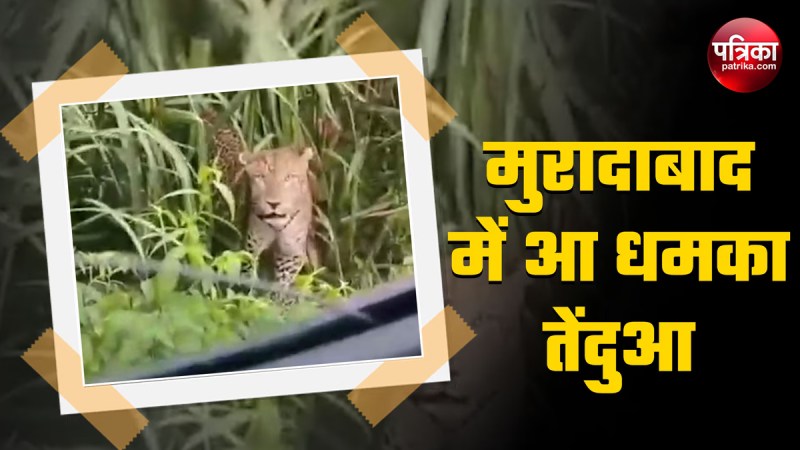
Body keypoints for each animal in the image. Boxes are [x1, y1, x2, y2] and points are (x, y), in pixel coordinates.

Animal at [238, 146, 321, 298]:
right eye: (260, 177)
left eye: (288, 177)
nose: (273, 204)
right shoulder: (253, 244)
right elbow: (249, 269)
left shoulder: (290, 253)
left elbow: (283, 281)